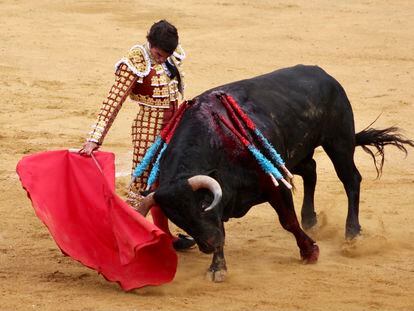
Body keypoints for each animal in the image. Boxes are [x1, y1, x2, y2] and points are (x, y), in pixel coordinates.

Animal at [141, 66, 412, 282]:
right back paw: (311, 219)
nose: (208, 245)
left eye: (203, 203)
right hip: (294, 156)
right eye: (177, 217)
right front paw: (217, 268)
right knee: (311, 170)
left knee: (351, 180)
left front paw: (310, 252)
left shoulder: (274, 184)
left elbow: (287, 220)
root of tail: (325, 75)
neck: (218, 143)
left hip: (339, 141)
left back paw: (352, 233)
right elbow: (221, 229)